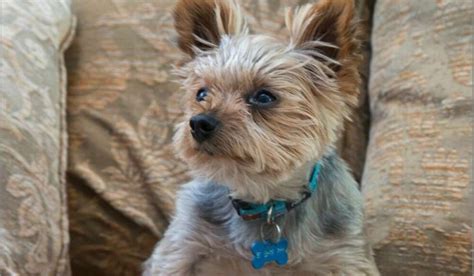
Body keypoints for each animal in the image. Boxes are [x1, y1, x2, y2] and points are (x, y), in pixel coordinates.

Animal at [143, 0, 380, 274]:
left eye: (264, 97)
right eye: (201, 94)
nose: (199, 123)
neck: (264, 201)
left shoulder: (346, 256)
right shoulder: (179, 249)